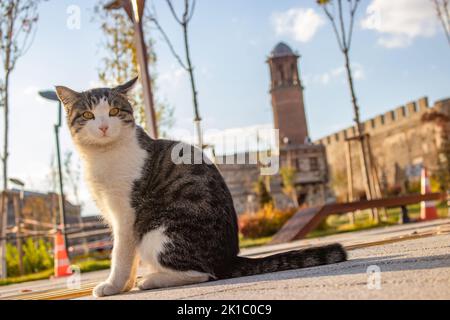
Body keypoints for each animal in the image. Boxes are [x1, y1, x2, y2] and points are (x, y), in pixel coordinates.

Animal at [54, 77, 346, 298]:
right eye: (88, 115)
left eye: (114, 112)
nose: (103, 126)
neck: (103, 156)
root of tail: (228, 257)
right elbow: (129, 256)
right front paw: (123, 286)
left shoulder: (126, 215)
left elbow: (121, 254)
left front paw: (113, 285)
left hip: (157, 231)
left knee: (203, 273)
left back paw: (152, 280)